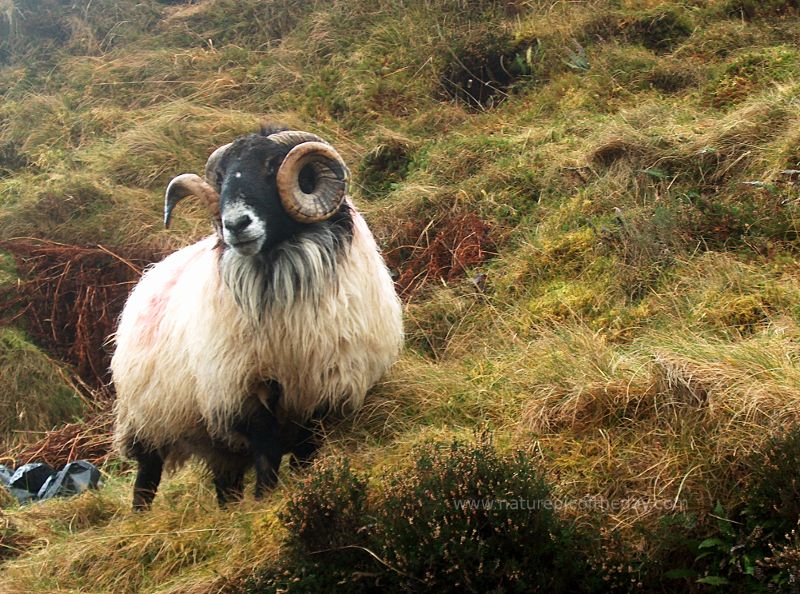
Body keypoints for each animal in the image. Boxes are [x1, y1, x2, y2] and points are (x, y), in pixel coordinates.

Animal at [109, 127, 404, 506]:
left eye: (270, 167)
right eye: (221, 178)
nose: (235, 224)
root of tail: (147, 277)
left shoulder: (321, 390)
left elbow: (306, 452)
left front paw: (305, 487)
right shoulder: (244, 393)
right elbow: (267, 454)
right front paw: (265, 499)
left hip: (217, 443)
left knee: (226, 483)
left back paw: (228, 511)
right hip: (146, 420)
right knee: (145, 480)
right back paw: (141, 515)